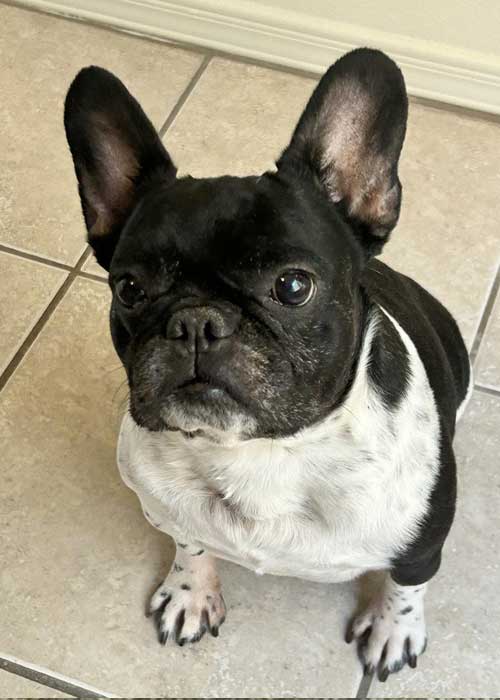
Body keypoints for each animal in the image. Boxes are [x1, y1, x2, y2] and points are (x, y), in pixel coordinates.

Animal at [64, 50, 470, 684]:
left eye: (293, 286)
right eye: (129, 289)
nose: (197, 321)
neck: (261, 452)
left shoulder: (422, 543)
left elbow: (407, 585)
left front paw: (394, 630)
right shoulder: (172, 513)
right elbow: (190, 546)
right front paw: (190, 592)